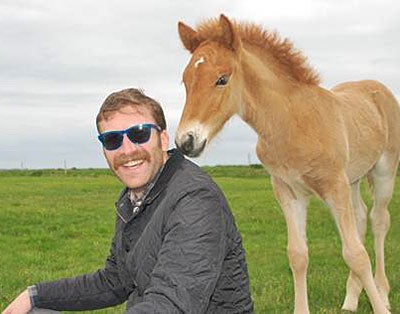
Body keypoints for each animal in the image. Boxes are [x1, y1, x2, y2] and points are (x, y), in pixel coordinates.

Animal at [176, 15, 400, 314]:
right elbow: (298, 255)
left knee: (378, 220)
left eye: (222, 79)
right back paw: (351, 299)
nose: (186, 141)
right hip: (353, 178)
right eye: (185, 81)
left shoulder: (334, 185)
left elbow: (355, 253)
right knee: (362, 216)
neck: (292, 122)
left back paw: (383, 293)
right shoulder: (288, 191)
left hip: (383, 171)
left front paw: (380, 307)